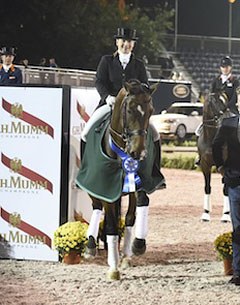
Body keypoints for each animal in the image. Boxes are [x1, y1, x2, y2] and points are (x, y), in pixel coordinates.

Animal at [77, 79, 159, 280]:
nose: (139, 153)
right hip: (94, 186)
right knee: (97, 207)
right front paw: (113, 267)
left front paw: (137, 246)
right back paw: (91, 247)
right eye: (129, 110)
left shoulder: (139, 181)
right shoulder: (106, 187)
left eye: (151, 110)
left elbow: (137, 208)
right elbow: (112, 225)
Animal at [198, 91, 232, 222]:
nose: (224, 117)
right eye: (214, 103)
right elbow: (207, 187)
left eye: (224, 101)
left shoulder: (225, 167)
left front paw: (226, 215)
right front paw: (206, 214)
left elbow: (226, 190)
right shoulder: (205, 165)